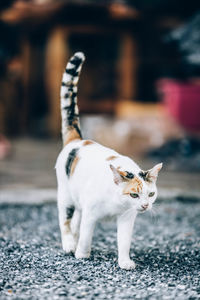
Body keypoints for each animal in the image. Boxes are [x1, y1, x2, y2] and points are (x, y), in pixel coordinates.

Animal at [55, 51, 162, 270]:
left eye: (151, 194)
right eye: (134, 195)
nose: (145, 206)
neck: (117, 203)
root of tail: (78, 140)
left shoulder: (127, 218)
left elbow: (124, 241)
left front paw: (125, 262)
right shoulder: (91, 214)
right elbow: (86, 236)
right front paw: (82, 254)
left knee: (75, 220)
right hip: (65, 196)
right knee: (66, 220)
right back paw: (70, 244)